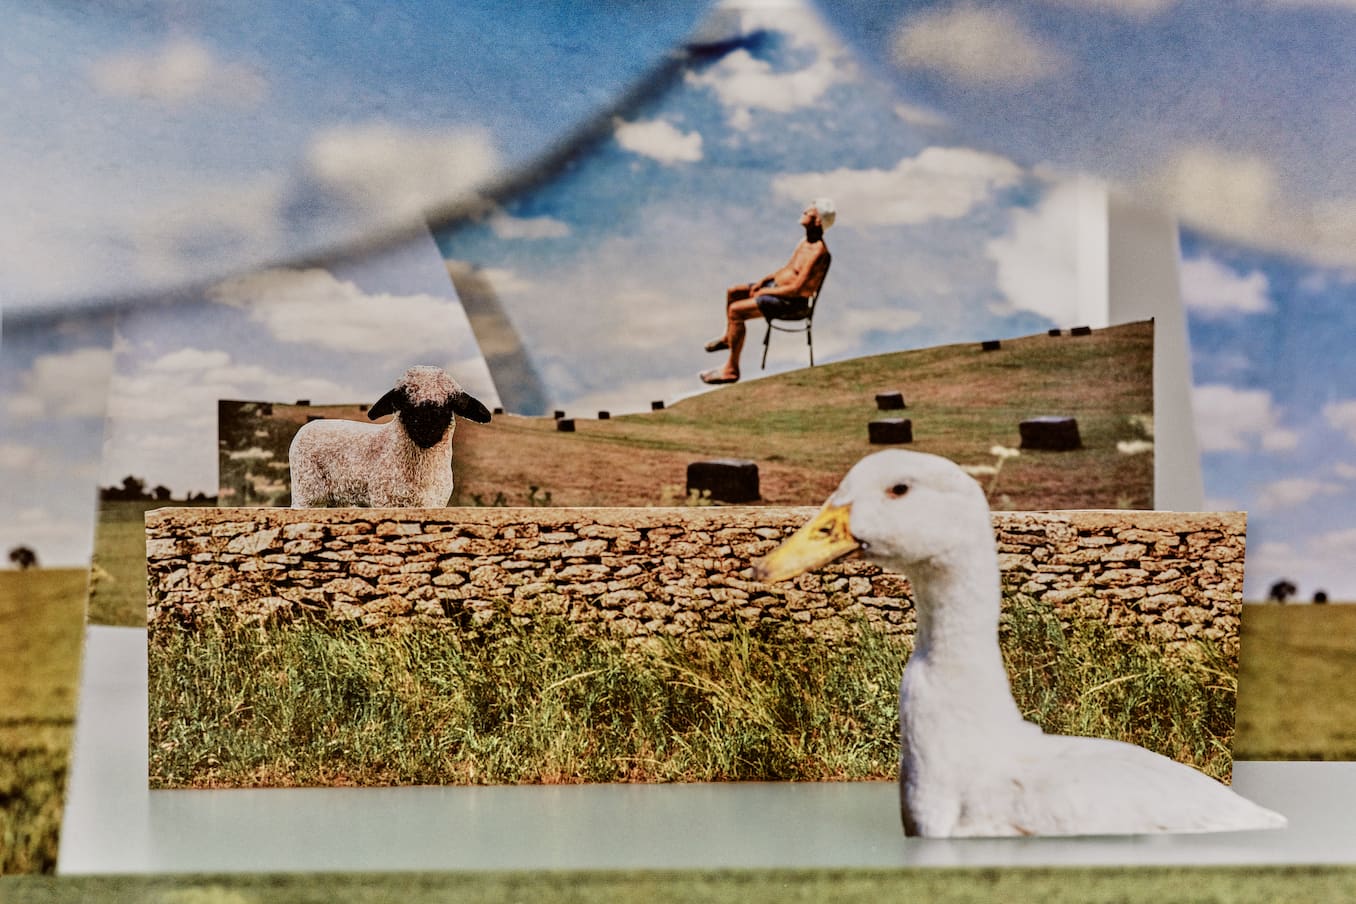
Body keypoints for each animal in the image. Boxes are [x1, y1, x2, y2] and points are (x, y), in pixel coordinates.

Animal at [287, 368, 493, 509]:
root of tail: (309, 425)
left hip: (339, 496)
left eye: (451, 403)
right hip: (305, 492)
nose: (425, 430)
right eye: (404, 400)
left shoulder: (435, 502)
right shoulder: (384, 499)